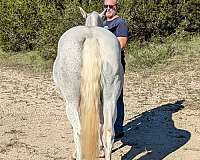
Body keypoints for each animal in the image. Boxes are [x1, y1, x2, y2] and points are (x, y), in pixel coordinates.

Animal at [52, 6, 123, 159]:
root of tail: (91, 37)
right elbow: (101, 123)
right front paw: (100, 149)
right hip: (110, 97)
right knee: (108, 130)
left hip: (71, 101)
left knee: (79, 131)